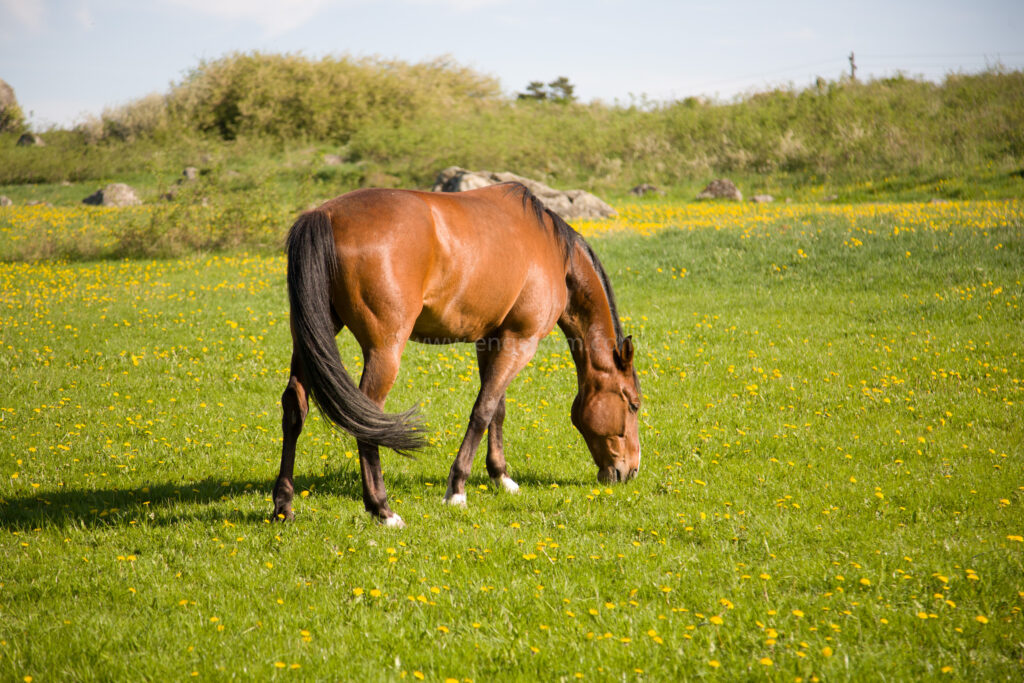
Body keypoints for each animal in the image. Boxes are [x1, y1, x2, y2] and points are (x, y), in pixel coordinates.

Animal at [272, 183, 638, 528]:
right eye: (633, 404)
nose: (631, 470)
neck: (551, 250)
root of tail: (324, 216)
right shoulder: (521, 341)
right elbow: (483, 410)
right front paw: (457, 489)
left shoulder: (490, 340)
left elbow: (497, 410)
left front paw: (501, 476)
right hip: (384, 350)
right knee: (365, 417)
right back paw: (382, 510)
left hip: (309, 339)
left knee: (295, 407)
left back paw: (283, 506)